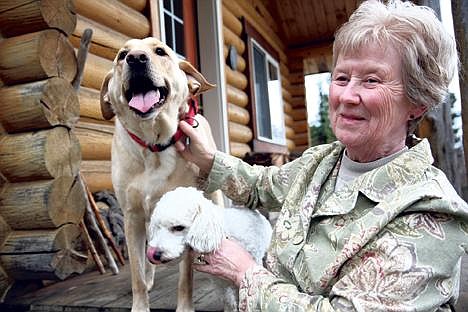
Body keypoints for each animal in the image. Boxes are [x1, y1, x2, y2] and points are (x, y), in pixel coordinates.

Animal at [99, 38, 219, 312]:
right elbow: (136, 274)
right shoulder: (132, 217)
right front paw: (140, 304)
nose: (135, 58)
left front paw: (185, 307)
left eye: (160, 51)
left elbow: (185, 278)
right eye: (122, 55)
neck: (152, 145)